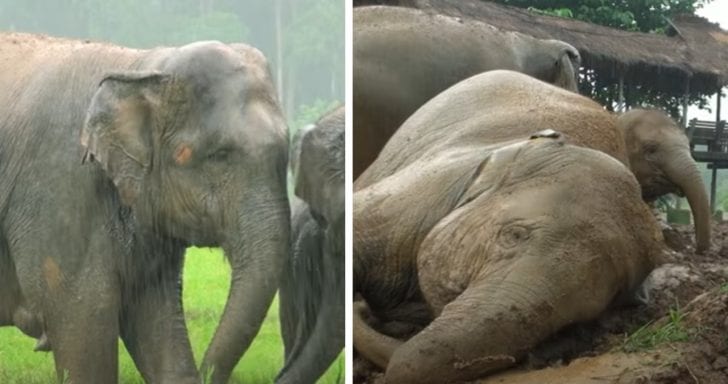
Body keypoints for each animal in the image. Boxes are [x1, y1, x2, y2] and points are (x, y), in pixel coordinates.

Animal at [0, 33, 290, 384]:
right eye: (218, 155)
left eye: (286, 156)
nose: (205, 372)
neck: (141, 65)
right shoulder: (57, 188)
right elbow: (84, 320)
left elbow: (156, 320)